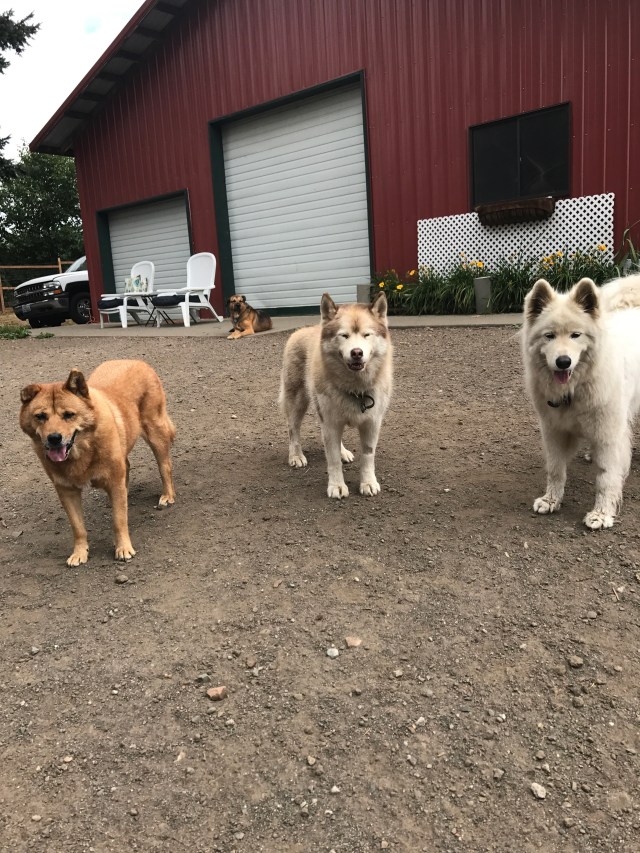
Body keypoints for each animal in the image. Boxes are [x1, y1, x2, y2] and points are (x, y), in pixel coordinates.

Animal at [19, 360, 176, 565]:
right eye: (40, 416)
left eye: (69, 415)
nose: (54, 438)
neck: (82, 450)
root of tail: (136, 361)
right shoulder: (66, 491)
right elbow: (78, 527)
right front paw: (80, 552)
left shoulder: (114, 481)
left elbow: (118, 520)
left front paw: (123, 548)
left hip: (155, 433)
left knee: (164, 467)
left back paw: (168, 495)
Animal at [279, 291, 392, 499]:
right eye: (344, 335)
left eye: (367, 335)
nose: (357, 352)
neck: (356, 389)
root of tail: (301, 330)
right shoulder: (330, 421)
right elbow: (332, 460)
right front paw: (337, 485)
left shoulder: (372, 423)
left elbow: (368, 457)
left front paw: (368, 482)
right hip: (297, 402)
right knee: (293, 430)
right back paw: (296, 455)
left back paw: (343, 451)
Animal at [522, 273, 640, 529]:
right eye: (549, 336)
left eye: (576, 335)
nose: (563, 361)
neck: (575, 389)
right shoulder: (554, 431)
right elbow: (556, 470)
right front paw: (551, 500)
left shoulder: (608, 434)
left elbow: (606, 478)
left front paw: (601, 514)